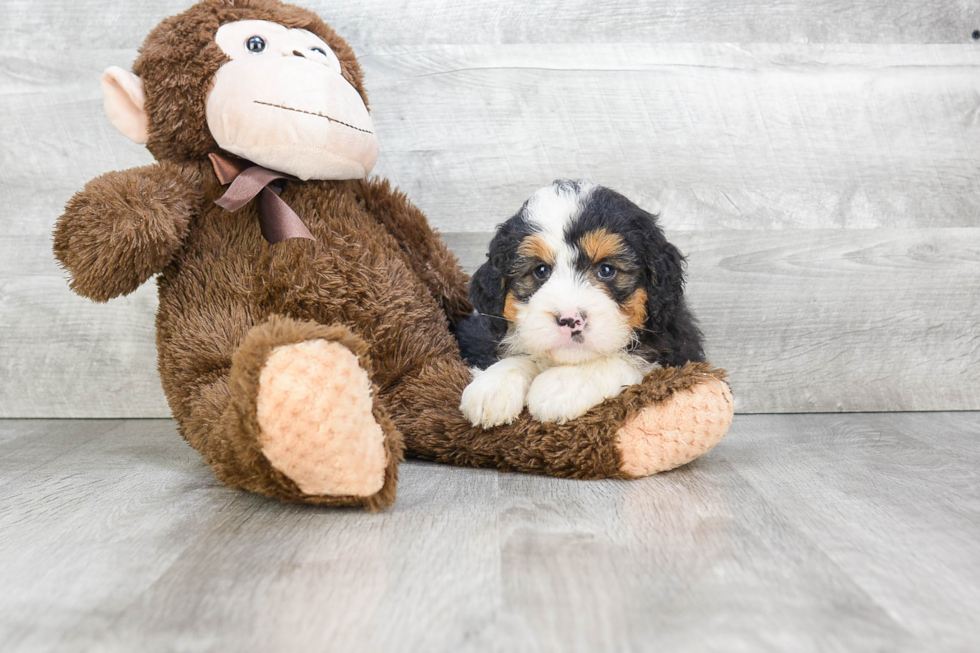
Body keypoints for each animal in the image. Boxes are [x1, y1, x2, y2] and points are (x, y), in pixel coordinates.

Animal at [460, 181, 704, 428]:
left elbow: (628, 359)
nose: (570, 319)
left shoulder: (676, 351)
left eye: (606, 269)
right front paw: (493, 386)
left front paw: (561, 385)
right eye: (540, 270)